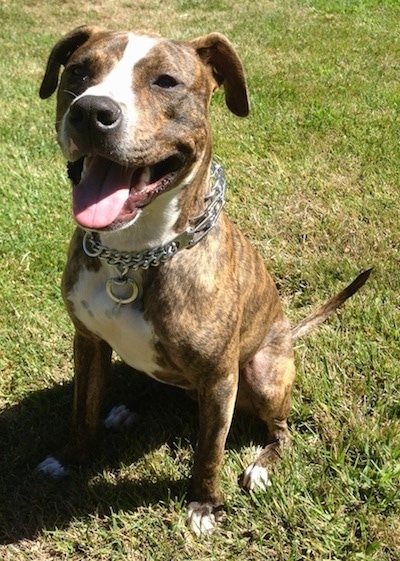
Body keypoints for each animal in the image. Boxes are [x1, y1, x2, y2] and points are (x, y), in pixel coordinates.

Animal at [36, 25, 370, 532]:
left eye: (166, 81)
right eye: (78, 71)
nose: (91, 112)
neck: (134, 253)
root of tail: (287, 332)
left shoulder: (218, 378)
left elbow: (209, 450)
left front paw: (204, 504)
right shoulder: (88, 341)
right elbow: (82, 411)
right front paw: (72, 457)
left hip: (261, 373)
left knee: (283, 429)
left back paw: (261, 465)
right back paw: (130, 407)